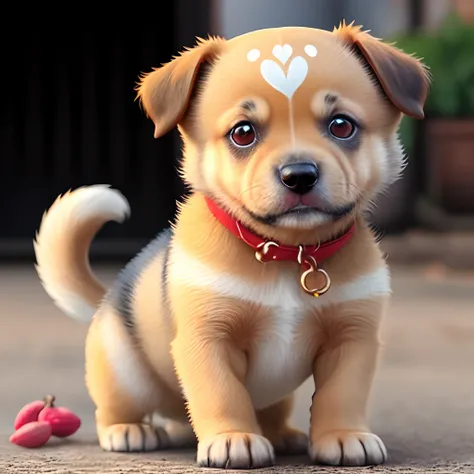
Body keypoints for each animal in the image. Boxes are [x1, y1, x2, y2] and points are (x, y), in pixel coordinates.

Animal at [33, 23, 430, 470]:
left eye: (342, 126)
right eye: (243, 133)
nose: (299, 174)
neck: (288, 254)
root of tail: (107, 299)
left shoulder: (353, 339)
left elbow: (342, 393)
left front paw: (344, 436)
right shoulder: (208, 339)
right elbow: (222, 393)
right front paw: (232, 439)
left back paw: (282, 434)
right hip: (124, 372)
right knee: (117, 406)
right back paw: (128, 430)